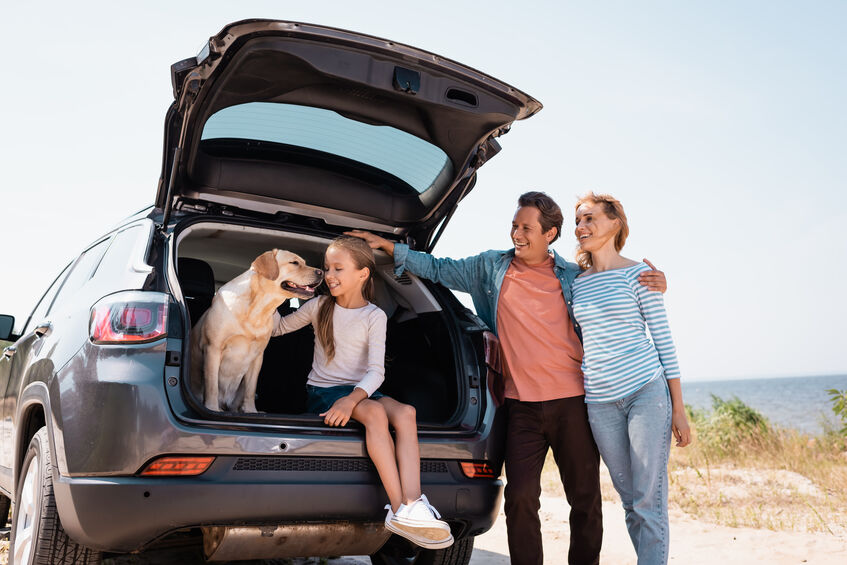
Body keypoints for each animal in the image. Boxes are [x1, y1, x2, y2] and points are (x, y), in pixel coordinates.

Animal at [190, 249, 324, 412]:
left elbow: (250, 389)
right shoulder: (213, 349)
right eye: (294, 263)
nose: (322, 272)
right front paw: (211, 408)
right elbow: (212, 386)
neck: (257, 309)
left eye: (304, 262)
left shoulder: (258, 356)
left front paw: (250, 411)